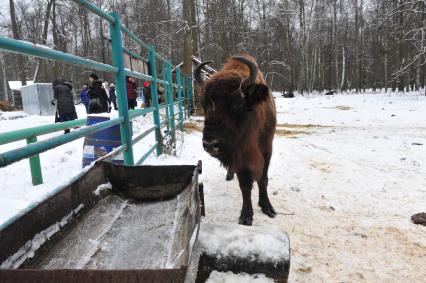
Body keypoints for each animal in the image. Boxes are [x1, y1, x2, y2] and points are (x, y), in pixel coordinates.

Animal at [195, 54, 278, 225]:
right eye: (205, 104)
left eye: (238, 103)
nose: (210, 144)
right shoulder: (240, 156)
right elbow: (245, 185)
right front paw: (246, 217)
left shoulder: (267, 149)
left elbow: (263, 179)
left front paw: (267, 208)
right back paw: (229, 175)